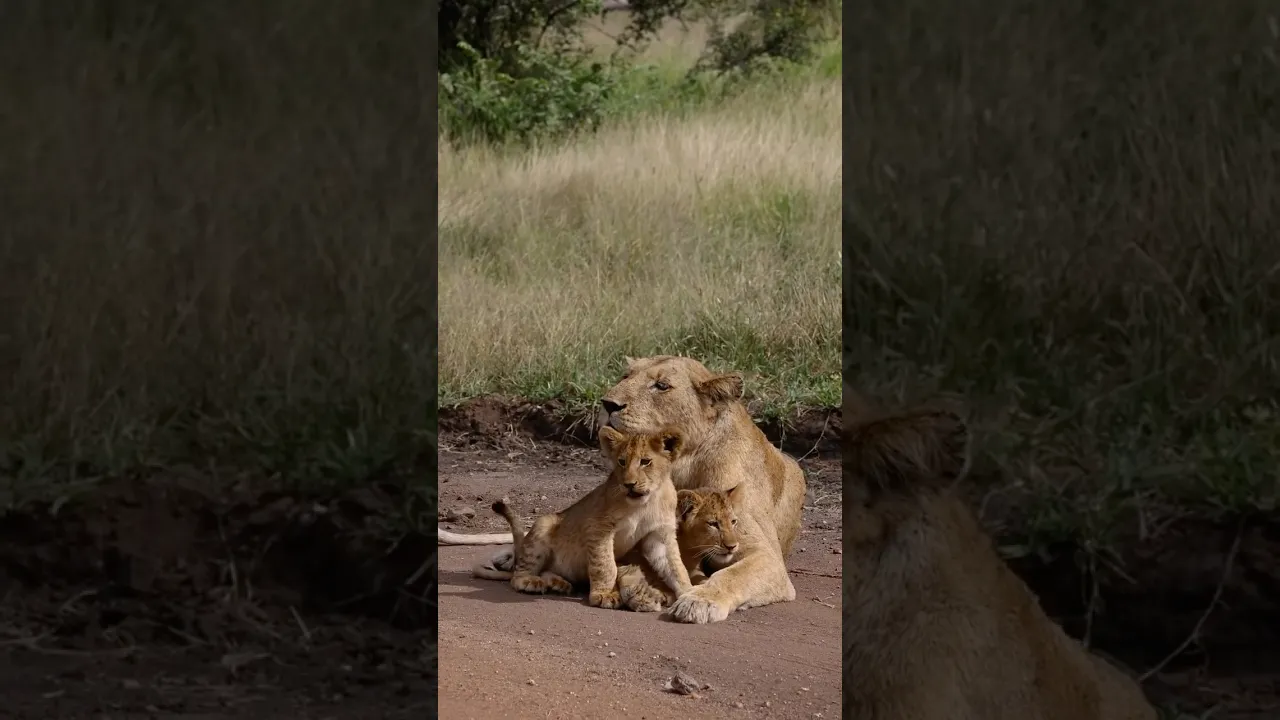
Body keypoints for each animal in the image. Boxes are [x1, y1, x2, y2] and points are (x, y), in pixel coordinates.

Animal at [472, 425, 693, 610]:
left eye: (645, 462)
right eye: (622, 462)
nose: (629, 484)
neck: (646, 502)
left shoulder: (660, 534)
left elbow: (676, 566)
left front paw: (689, 593)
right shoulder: (598, 527)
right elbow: (606, 565)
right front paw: (604, 595)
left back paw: (558, 584)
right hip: (543, 524)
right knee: (518, 575)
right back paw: (531, 582)